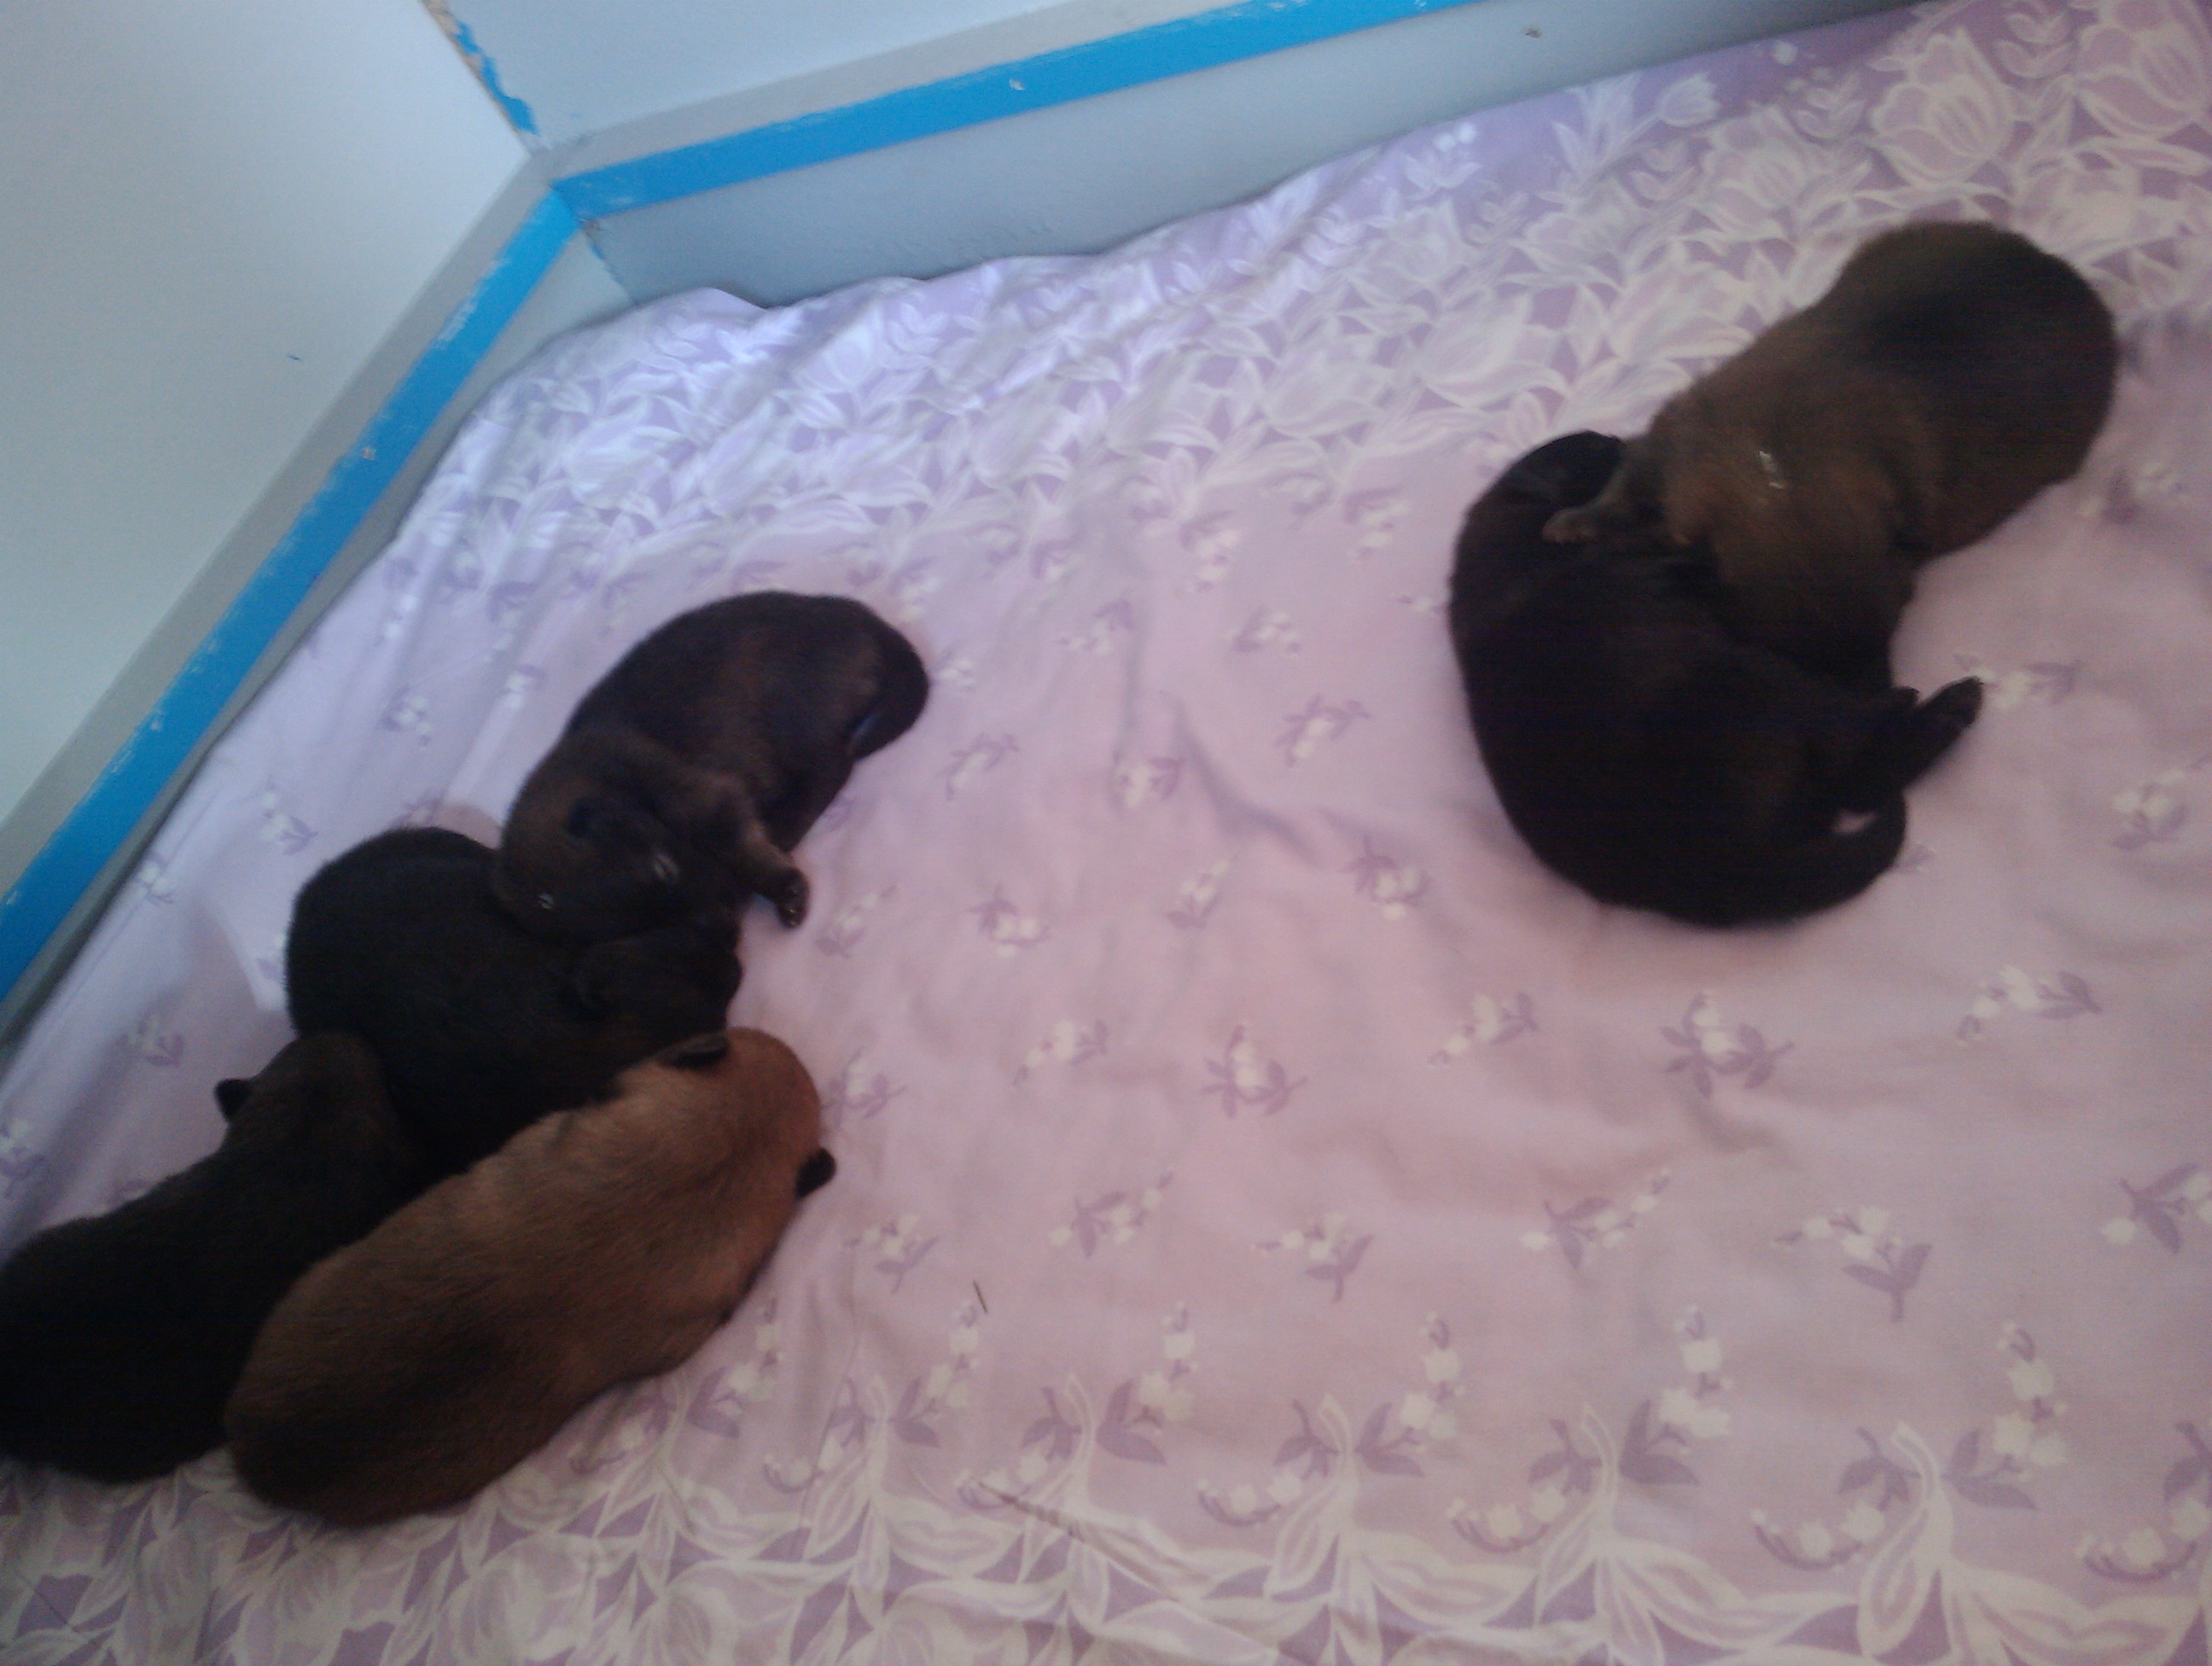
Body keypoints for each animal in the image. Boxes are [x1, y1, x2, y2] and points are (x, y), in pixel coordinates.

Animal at [496, 592, 929, 942]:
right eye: (649, 927)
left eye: (664, 868)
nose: (728, 925)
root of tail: (860, 618)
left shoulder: (700, 796)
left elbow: (739, 846)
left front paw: (780, 887)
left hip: (787, 713)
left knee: (831, 768)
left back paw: (785, 822)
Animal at [1452, 432, 1982, 926]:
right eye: (1601, 451)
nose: (1627, 440)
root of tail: (1724, 875)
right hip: (1761, 679)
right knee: (1853, 756)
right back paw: (1933, 703)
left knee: (1857, 779)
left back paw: (1944, 713)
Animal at [1543, 222, 2117, 685]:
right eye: (1785, 656)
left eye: (1901, 613)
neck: (1774, 469)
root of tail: (2061, 271)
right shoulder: (1669, 436)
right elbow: (1625, 486)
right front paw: (1576, 522)